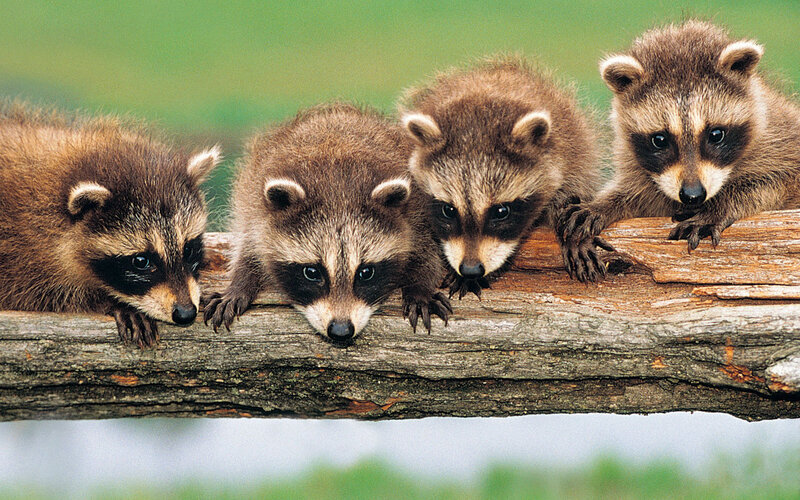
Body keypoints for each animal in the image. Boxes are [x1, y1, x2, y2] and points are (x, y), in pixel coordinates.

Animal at [0, 101, 220, 347]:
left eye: (189, 249)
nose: (185, 313)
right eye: (141, 261)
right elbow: (39, 295)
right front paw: (110, 301)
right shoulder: (18, 254)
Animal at [203, 103, 450, 346]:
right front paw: (239, 284)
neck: (337, 188)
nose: (341, 330)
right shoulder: (256, 212)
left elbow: (427, 252)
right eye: (312, 272)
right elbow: (249, 249)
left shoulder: (416, 214)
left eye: (366, 272)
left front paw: (420, 288)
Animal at [559, 20, 800, 281]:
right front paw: (602, 204)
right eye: (660, 140)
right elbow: (638, 195)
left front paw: (720, 205)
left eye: (716, 134)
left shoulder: (781, 138)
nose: (693, 195)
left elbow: (777, 181)